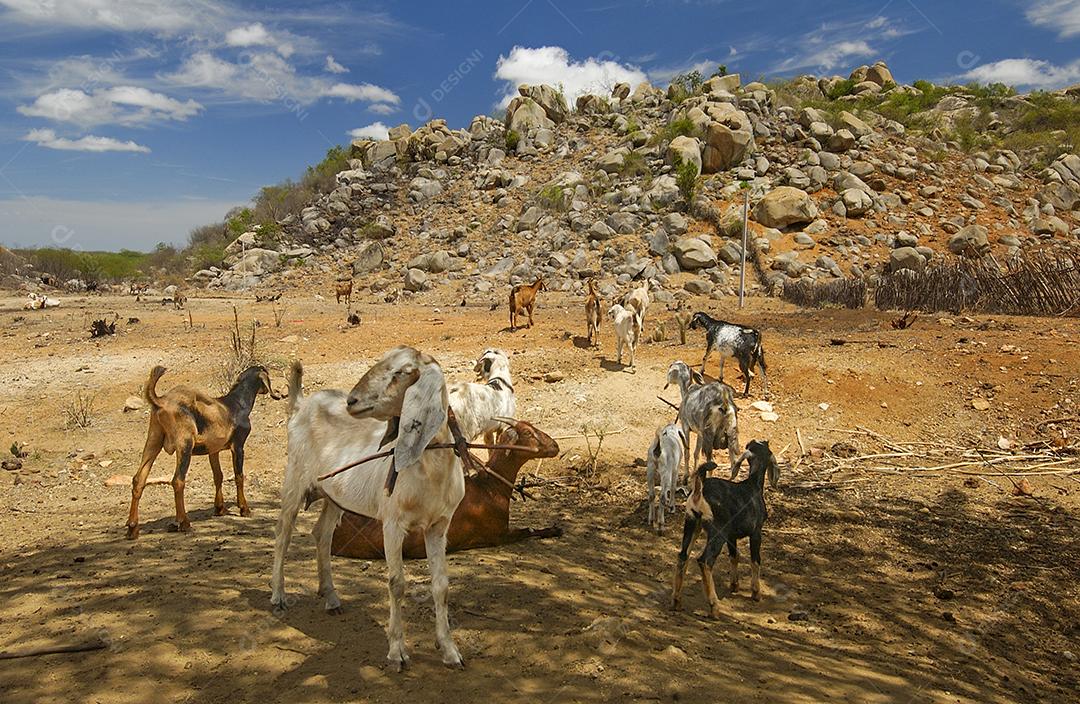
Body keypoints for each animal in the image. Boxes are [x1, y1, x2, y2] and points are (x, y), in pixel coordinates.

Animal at [125, 365, 280, 539]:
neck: (236, 404)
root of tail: (162, 401)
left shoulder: (213, 450)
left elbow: (218, 476)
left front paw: (220, 508)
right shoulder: (238, 446)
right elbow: (239, 476)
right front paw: (244, 509)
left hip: (153, 441)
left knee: (139, 479)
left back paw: (133, 528)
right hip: (185, 445)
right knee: (177, 480)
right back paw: (184, 523)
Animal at [271, 348, 466, 671]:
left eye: (401, 372)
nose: (352, 401)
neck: (429, 469)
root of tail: (301, 404)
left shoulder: (439, 525)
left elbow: (442, 585)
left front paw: (450, 651)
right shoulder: (392, 523)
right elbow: (396, 583)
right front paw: (397, 652)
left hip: (333, 495)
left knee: (321, 533)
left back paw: (331, 597)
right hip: (294, 479)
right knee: (282, 533)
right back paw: (278, 596)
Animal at [331, 420, 561, 558]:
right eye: (529, 433)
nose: (555, 446)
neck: (490, 487)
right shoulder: (499, 535)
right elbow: (529, 530)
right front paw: (555, 529)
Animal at [672, 441, 780, 617]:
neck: (752, 485)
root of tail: (700, 491)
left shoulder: (731, 536)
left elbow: (734, 556)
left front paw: (734, 585)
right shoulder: (756, 532)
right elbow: (755, 560)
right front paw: (756, 593)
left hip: (692, 523)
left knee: (682, 556)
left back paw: (676, 601)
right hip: (717, 531)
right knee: (704, 561)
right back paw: (714, 607)